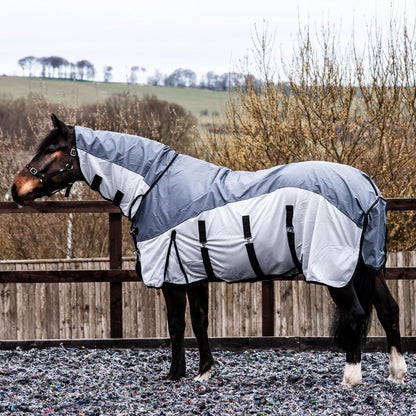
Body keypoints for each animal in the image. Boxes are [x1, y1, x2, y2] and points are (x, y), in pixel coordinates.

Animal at [11, 114, 408, 386]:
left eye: (52, 149)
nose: (16, 189)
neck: (153, 187)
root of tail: (367, 188)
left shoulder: (171, 277)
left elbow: (176, 325)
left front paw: (175, 374)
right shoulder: (194, 273)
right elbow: (200, 322)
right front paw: (205, 372)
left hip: (334, 270)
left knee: (357, 315)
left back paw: (351, 378)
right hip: (368, 266)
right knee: (389, 310)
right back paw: (397, 373)